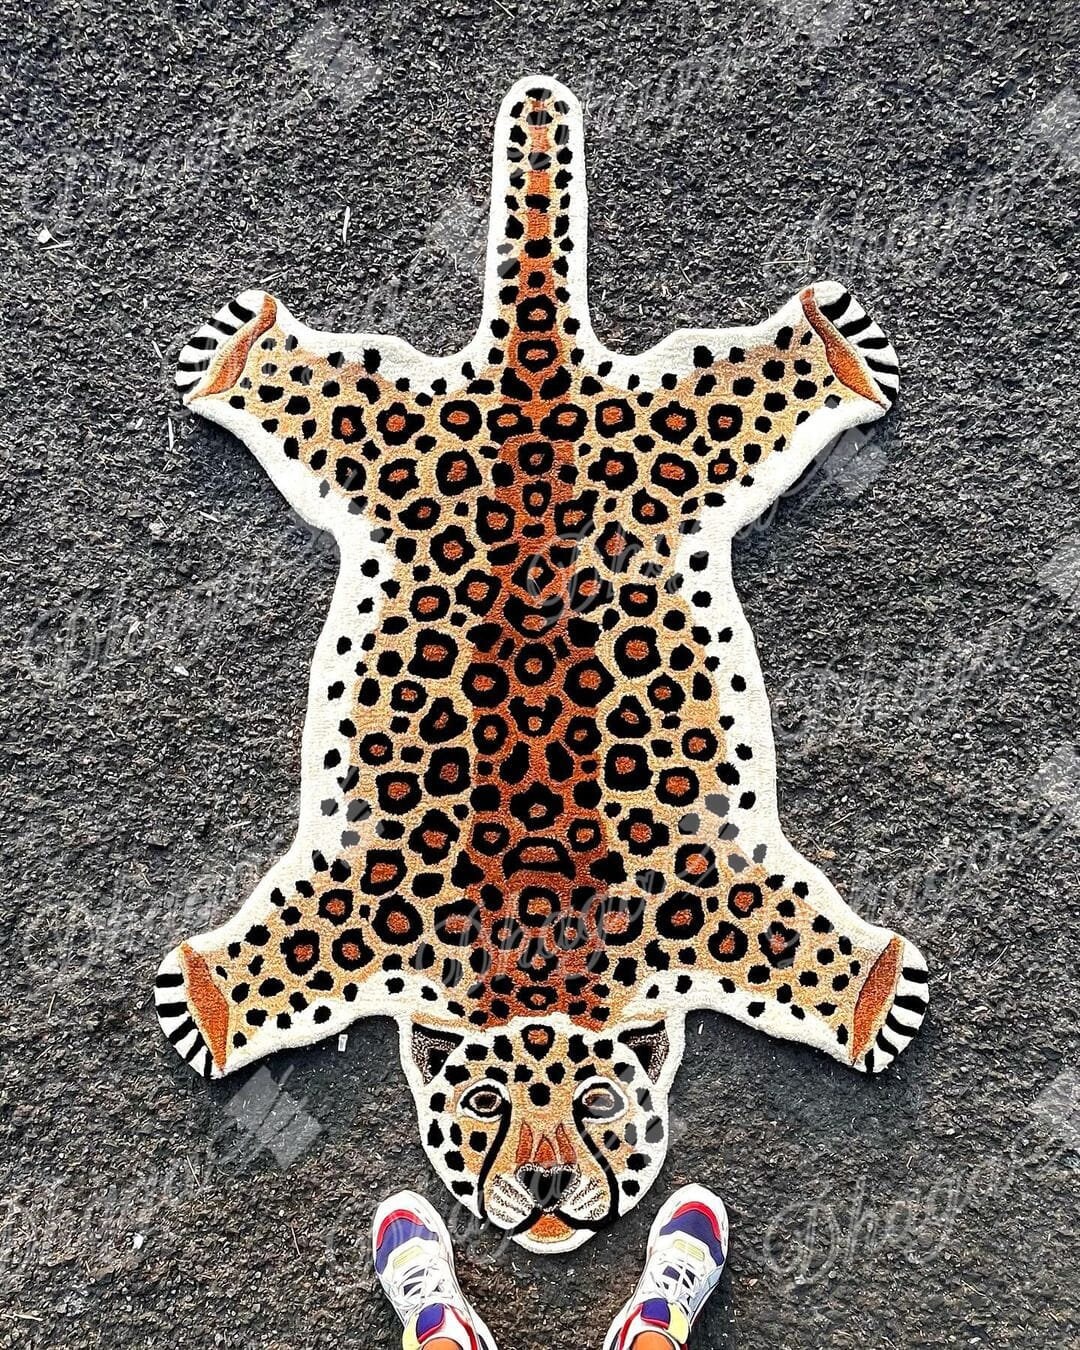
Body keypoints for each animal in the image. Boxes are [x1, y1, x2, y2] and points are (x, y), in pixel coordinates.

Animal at [156, 75, 928, 1254]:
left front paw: (873, 994)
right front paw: (208, 997)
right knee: (324, 390)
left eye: (599, 1102)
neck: (536, 961)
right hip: (395, 440)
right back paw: (242, 349)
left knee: (747, 386)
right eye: (483, 1104)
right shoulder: (362, 907)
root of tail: (533, 369)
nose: (551, 1186)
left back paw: (829, 341)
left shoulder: (709, 896)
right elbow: (282, 961)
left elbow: (795, 948)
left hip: (673, 439)